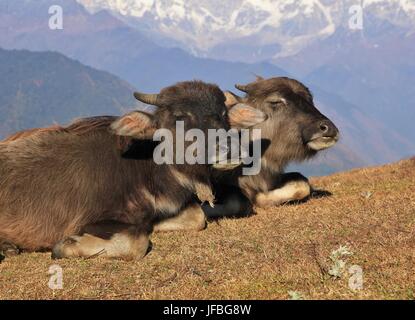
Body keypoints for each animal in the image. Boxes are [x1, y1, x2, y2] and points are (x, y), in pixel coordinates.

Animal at [0, 80, 266, 260]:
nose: (230, 150)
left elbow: (196, 216)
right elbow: (136, 242)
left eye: (222, 114)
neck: (145, 168)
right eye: (179, 116)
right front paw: (66, 246)